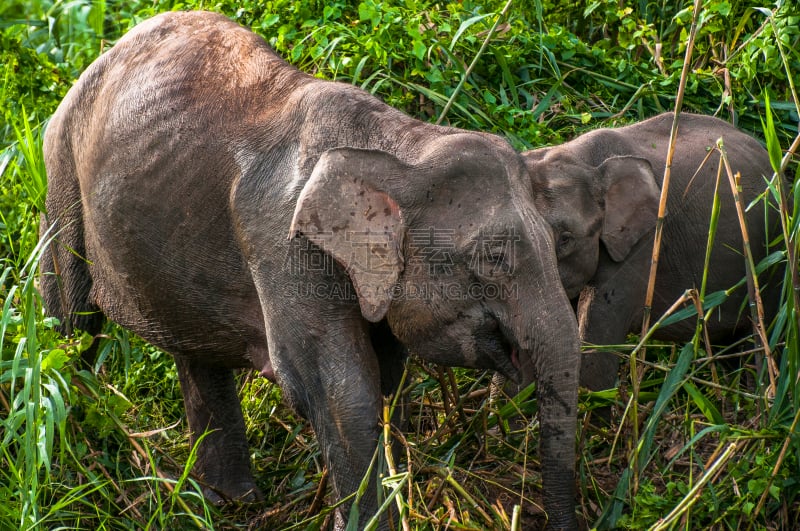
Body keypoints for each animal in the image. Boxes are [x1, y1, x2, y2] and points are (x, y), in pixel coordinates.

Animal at [40, 9, 580, 531]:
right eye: (494, 257)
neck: (403, 145)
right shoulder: (283, 244)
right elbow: (339, 392)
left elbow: (386, 373)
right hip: (60, 179)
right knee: (71, 327)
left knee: (196, 354)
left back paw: (229, 502)